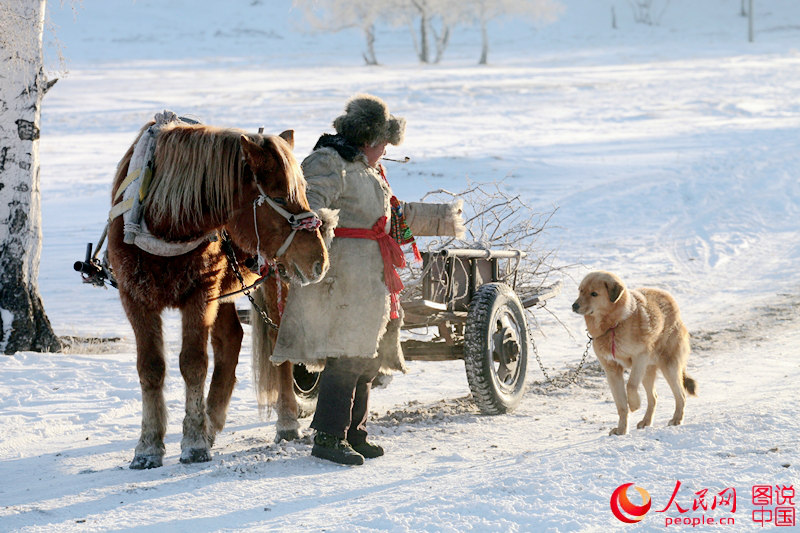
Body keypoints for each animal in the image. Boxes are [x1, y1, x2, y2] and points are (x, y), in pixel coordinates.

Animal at [108, 119, 328, 466]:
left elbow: (193, 363)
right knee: (230, 339)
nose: (319, 259)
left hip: (271, 279)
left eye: (303, 192)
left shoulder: (200, 295)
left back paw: (286, 421)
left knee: (277, 341)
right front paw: (148, 447)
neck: (162, 221)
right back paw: (213, 418)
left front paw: (194, 441)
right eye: (280, 196)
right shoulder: (135, 298)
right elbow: (151, 367)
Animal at [572, 270, 696, 432]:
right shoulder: (611, 370)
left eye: (594, 294)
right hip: (647, 371)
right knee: (653, 397)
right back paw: (646, 421)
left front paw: (635, 405)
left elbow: (630, 385)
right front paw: (621, 430)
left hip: (668, 366)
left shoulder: (639, 357)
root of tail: (671, 300)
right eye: (580, 290)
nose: (574, 306)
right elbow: (621, 405)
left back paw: (676, 419)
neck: (614, 325)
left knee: (680, 395)